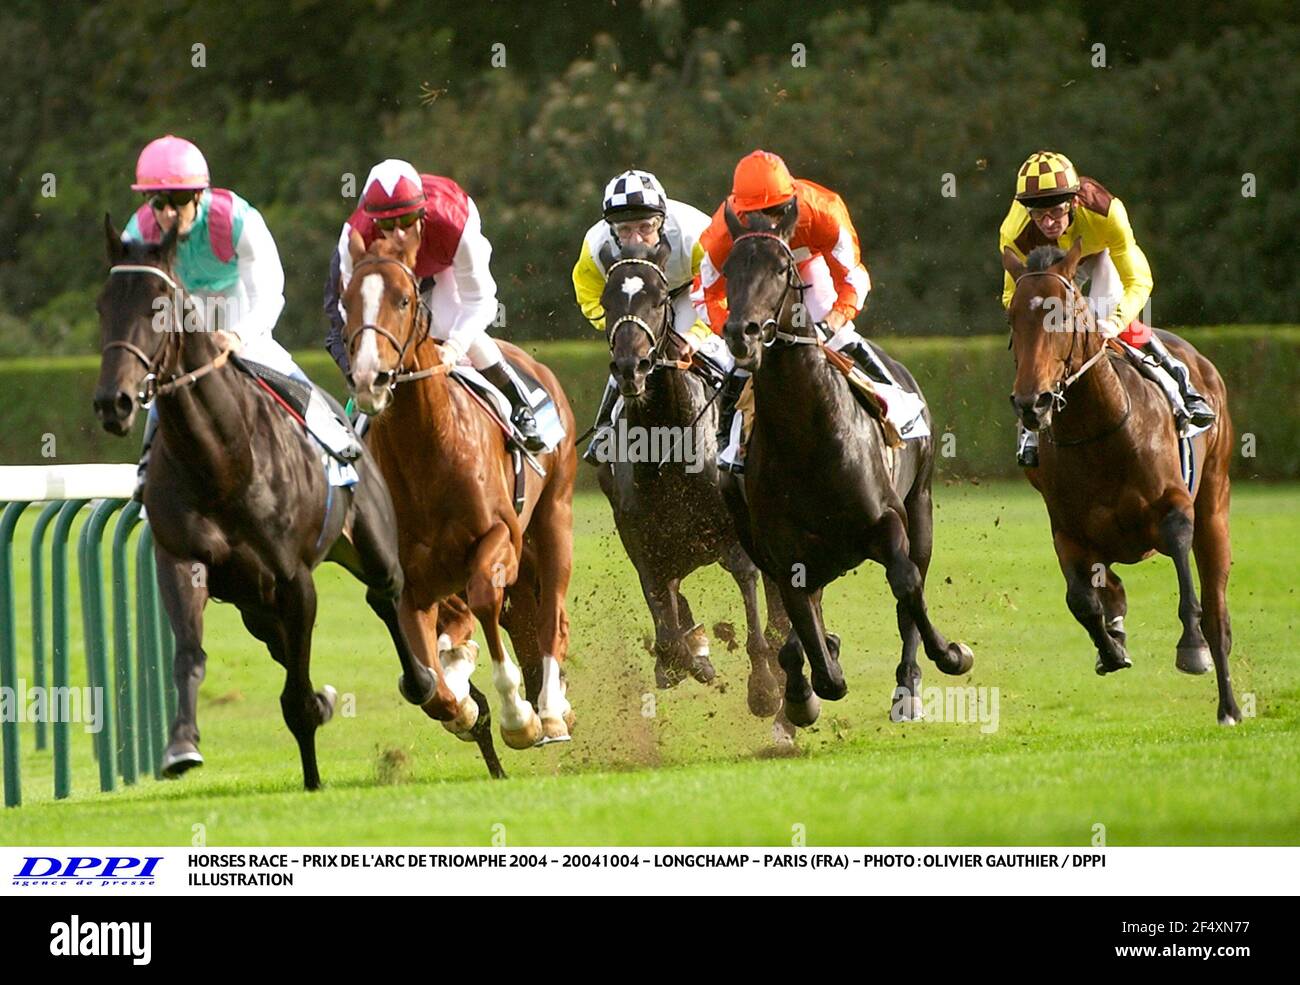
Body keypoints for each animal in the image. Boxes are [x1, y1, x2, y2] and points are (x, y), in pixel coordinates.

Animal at [91, 218, 470, 795]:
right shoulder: (181, 560)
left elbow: (297, 697)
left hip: (371, 546)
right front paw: (181, 745)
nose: (113, 401)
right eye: (103, 304)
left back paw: (424, 681)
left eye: (159, 303)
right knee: (282, 641)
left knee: (385, 596)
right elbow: (190, 655)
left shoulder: (296, 580)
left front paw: (313, 763)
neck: (224, 460)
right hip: (253, 605)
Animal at [340, 233, 579, 753]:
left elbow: (487, 599)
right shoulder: (408, 581)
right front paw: (463, 705)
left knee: (550, 616)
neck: (427, 451)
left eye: (402, 300)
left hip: (555, 516)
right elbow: (428, 686)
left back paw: (550, 711)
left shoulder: (501, 538)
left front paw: (518, 716)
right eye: (347, 301)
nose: (370, 377)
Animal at [595, 236, 785, 722]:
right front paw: (689, 656)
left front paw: (764, 685)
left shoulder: (736, 536)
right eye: (606, 301)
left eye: (660, 298)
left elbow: (750, 587)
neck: (668, 448)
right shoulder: (642, 542)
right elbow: (666, 630)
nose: (631, 367)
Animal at [717, 206, 972, 732]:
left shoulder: (888, 520)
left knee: (910, 583)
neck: (808, 436)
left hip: (921, 504)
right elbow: (814, 652)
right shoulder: (784, 555)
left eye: (781, 267)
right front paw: (806, 686)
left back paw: (907, 687)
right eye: (729, 269)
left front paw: (950, 654)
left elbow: (906, 584)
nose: (741, 333)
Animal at [998, 239, 1242, 727]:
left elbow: (1182, 560)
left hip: (1214, 503)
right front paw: (1110, 648)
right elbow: (1081, 599)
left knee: (1217, 611)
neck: (1099, 433)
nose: (1032, 402)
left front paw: (1191, 647)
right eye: (1014, 317)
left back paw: (1228, 705)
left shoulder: (1174, 506)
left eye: (1063, 316)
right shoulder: (1068, 531)